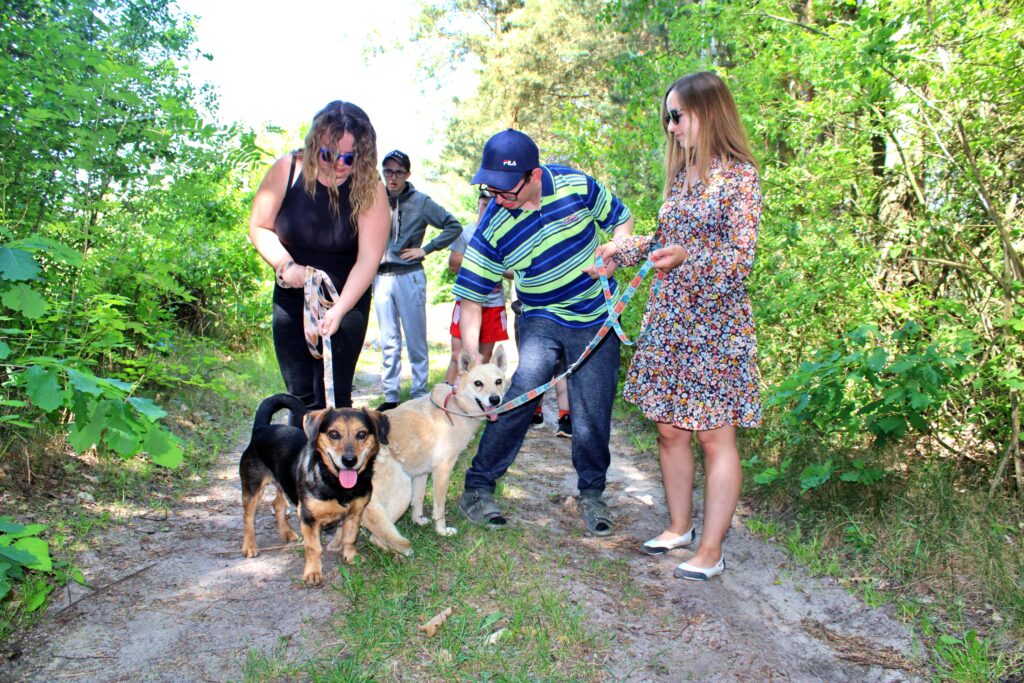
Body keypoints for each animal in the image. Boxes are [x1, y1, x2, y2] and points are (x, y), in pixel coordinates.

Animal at [239, 393, 388, 585]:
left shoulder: (355, 513)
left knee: (278, 504)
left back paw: (286, 532)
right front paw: (313, 572)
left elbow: (350, 538)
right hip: (253, 487)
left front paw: (351, 556)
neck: (334, 482)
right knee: (248, 517)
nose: (349, 460)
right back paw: (249, 546)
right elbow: (313, 548)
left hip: (284, 482)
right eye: (334, 434)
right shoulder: (308, 518)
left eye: (361, 434)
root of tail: (261, 428)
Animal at [361, 345, 507, 549]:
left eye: (498, 381)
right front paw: (442, 531)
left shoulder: (422, 474)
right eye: (478, 383)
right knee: (378, 536)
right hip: (401, 489)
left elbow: (419, 500)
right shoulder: (442, 471)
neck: (457, 407)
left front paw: (418, 520)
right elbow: (439, 508)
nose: (495, 399)